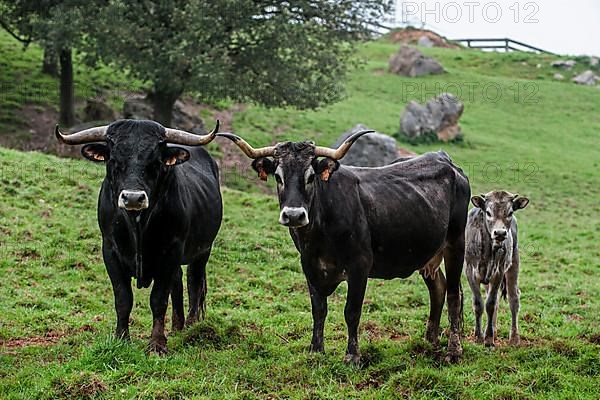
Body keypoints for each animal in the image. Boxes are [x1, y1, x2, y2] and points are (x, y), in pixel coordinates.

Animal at [55, 119, 223, 354]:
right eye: (114, 159)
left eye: (155, 161)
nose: (133, 198)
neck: (137, 225)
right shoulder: (110, 251)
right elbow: (123, 298)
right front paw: (121, 338)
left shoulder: (171, 251)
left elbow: (158, 299)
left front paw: (157, 344)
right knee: (178, 282)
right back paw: (177, 326)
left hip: (202, 250)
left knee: (194, 282)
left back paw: (190, 326)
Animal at [218, 130, 472, 362]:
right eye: (278, 177)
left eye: (311, 177)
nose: (294, 215)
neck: (319, 234)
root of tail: (446, 161)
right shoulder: (309, 266)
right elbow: (318, 310)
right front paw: (316, 350)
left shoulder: (359, 267)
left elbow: (351, 311)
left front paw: (352, 356)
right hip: (428, 253)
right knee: (438, 289)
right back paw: (430, 340)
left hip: (456, 243)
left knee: (453, 295)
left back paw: (453, 350)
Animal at [464, 191, 528, 346]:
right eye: (488, 212)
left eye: (510, 212)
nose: (499, 233)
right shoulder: (469, 271)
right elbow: (479, 303)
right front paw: (479, 336)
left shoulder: (499, 272)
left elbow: (490, 304)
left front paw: (488, 339)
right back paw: (494, 330)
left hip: (514, 262)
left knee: (513, 298)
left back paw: (514, 338)